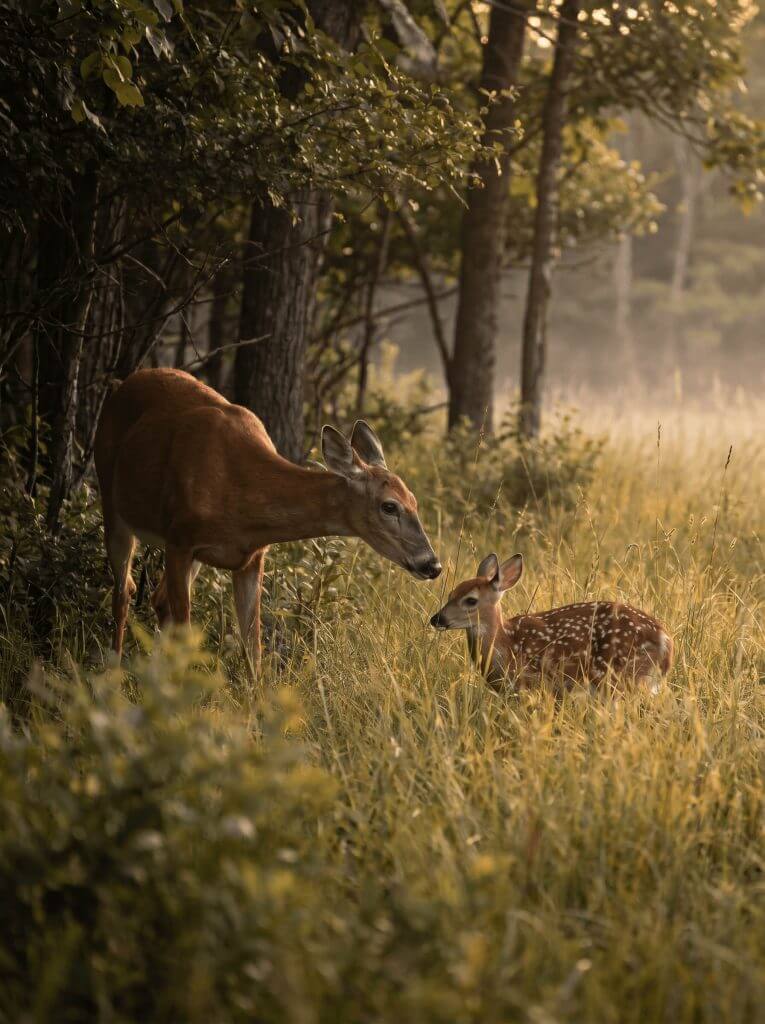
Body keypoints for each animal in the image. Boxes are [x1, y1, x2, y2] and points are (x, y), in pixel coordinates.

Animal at [94, 368, 441, 676]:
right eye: (389, 506)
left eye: (414, 500)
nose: (432, 564)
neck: (240, 492)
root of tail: (122, 383)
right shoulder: (180, 539)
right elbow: (187, 630)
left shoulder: (252, 557)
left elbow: (253, 646)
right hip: (111, 498)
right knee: (124, 592)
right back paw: (113, 674)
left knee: (158, 599)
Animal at [430, 553, 673, 693]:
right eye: (450, 594)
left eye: (471, 600)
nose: (437, 619)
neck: (506, 644)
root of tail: (666, 642)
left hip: (620, 678)